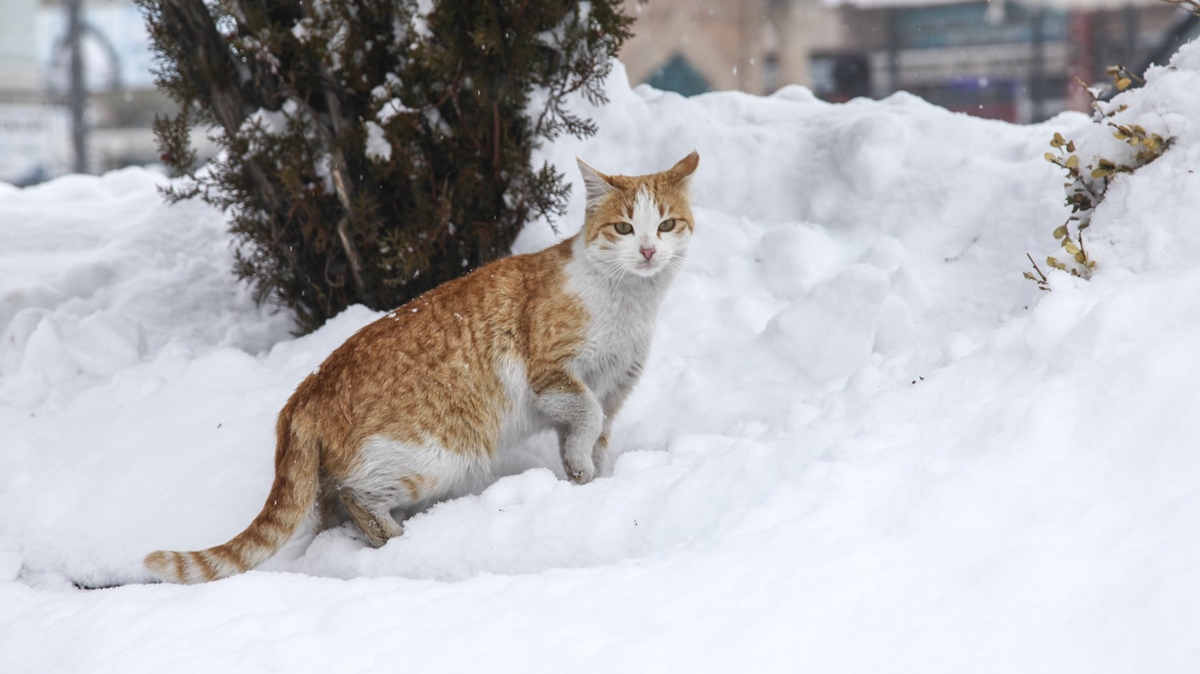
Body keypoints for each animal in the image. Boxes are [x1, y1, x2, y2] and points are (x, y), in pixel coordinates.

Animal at [144, 149, 700, 580]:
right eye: (624, 228)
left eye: (666, 224)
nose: (648, 250)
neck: (630, 303)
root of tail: (304, 393)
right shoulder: (553, 375)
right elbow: (585, 414)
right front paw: (583, 472)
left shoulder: (613, 389)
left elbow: (594, 435)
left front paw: (591, 485)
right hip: (443, 455)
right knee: (358, 496)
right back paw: (399, 540)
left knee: (329, 508)